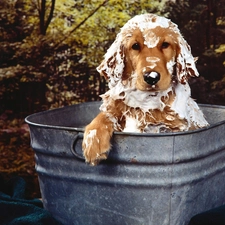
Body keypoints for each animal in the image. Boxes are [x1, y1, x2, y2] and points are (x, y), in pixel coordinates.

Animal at [81, 14, 208, 165]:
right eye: (135, 46)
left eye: (165, 45)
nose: (151, 77)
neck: (145, 100)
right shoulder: (115, 107)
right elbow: (104, 116)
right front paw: (93, 144)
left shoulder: (174, 126)